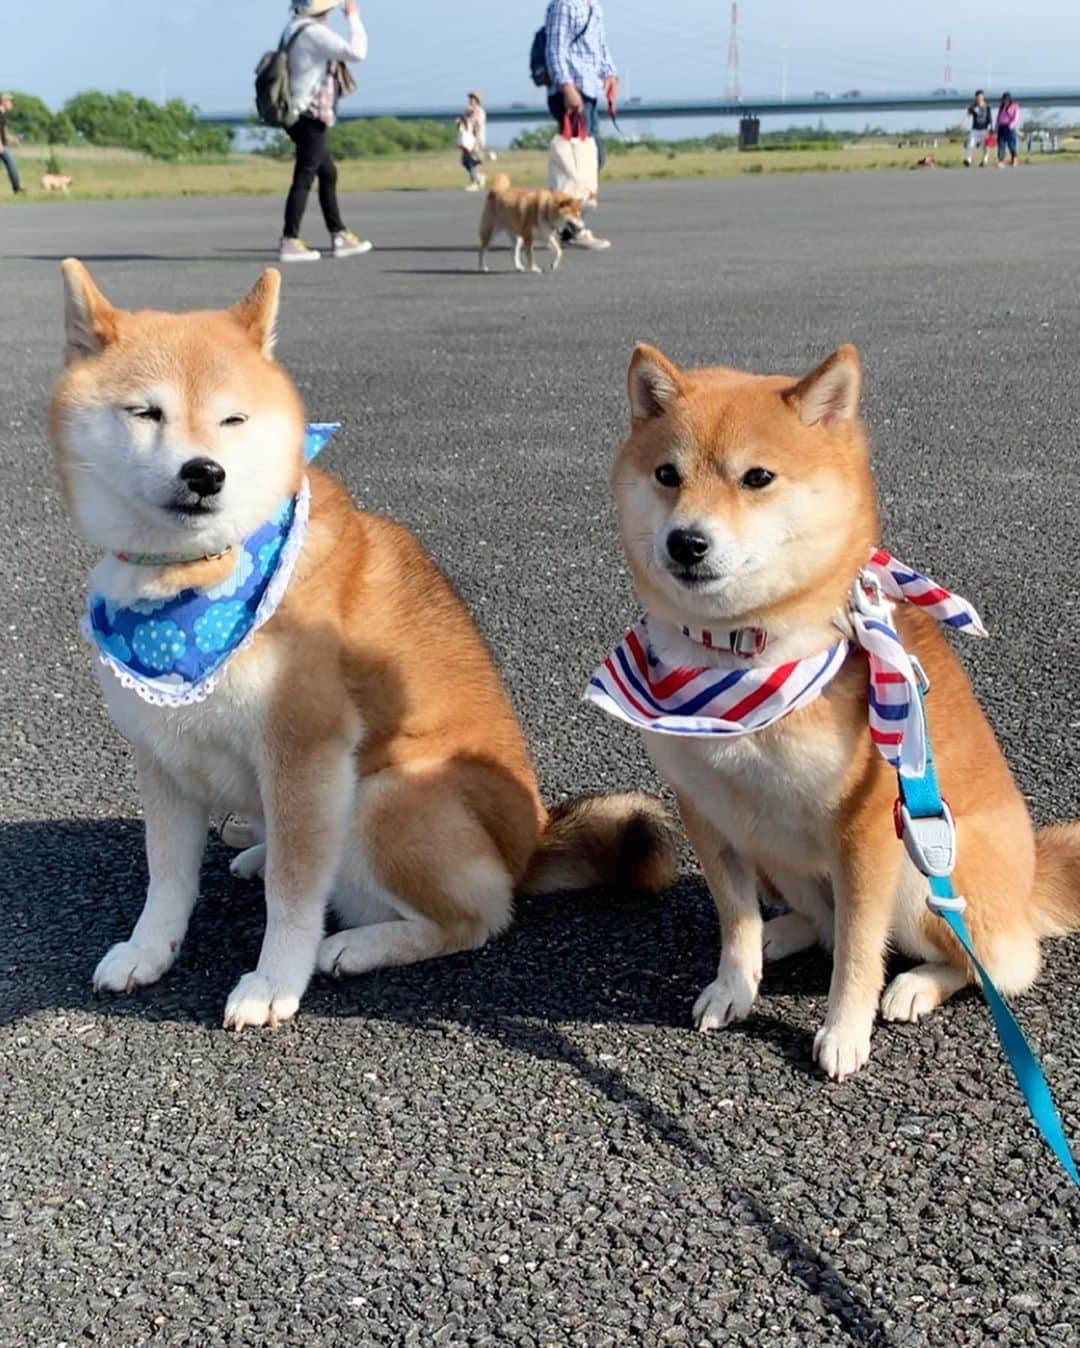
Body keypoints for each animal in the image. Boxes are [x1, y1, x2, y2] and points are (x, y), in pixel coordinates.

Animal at [52, 262, 674, 1029]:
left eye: (233, 420)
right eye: (146, 413)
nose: (205, 472)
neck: (194, 581)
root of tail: (529, 842)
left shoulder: (305, 752)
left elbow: (292, 897)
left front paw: (273, 981)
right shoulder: (162, 754)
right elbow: (167, 877)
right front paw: (148, 951)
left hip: (382, 795)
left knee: (481, 916)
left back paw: (358, 944)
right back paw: (255, 848)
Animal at [590, 342, 1078, 1078]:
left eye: (757, 477)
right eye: (667, 475)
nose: (686, 542)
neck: (746, 653)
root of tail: (1028, 885)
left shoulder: (867, 831)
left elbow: (857, 949)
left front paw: (845, 1030)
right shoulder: (707, 809)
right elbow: (736, 918)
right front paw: (736, 984)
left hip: (924, 873)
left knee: (992, 963)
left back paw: (914, 987)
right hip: (775, 854)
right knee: (818, 921)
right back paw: (783, 934)